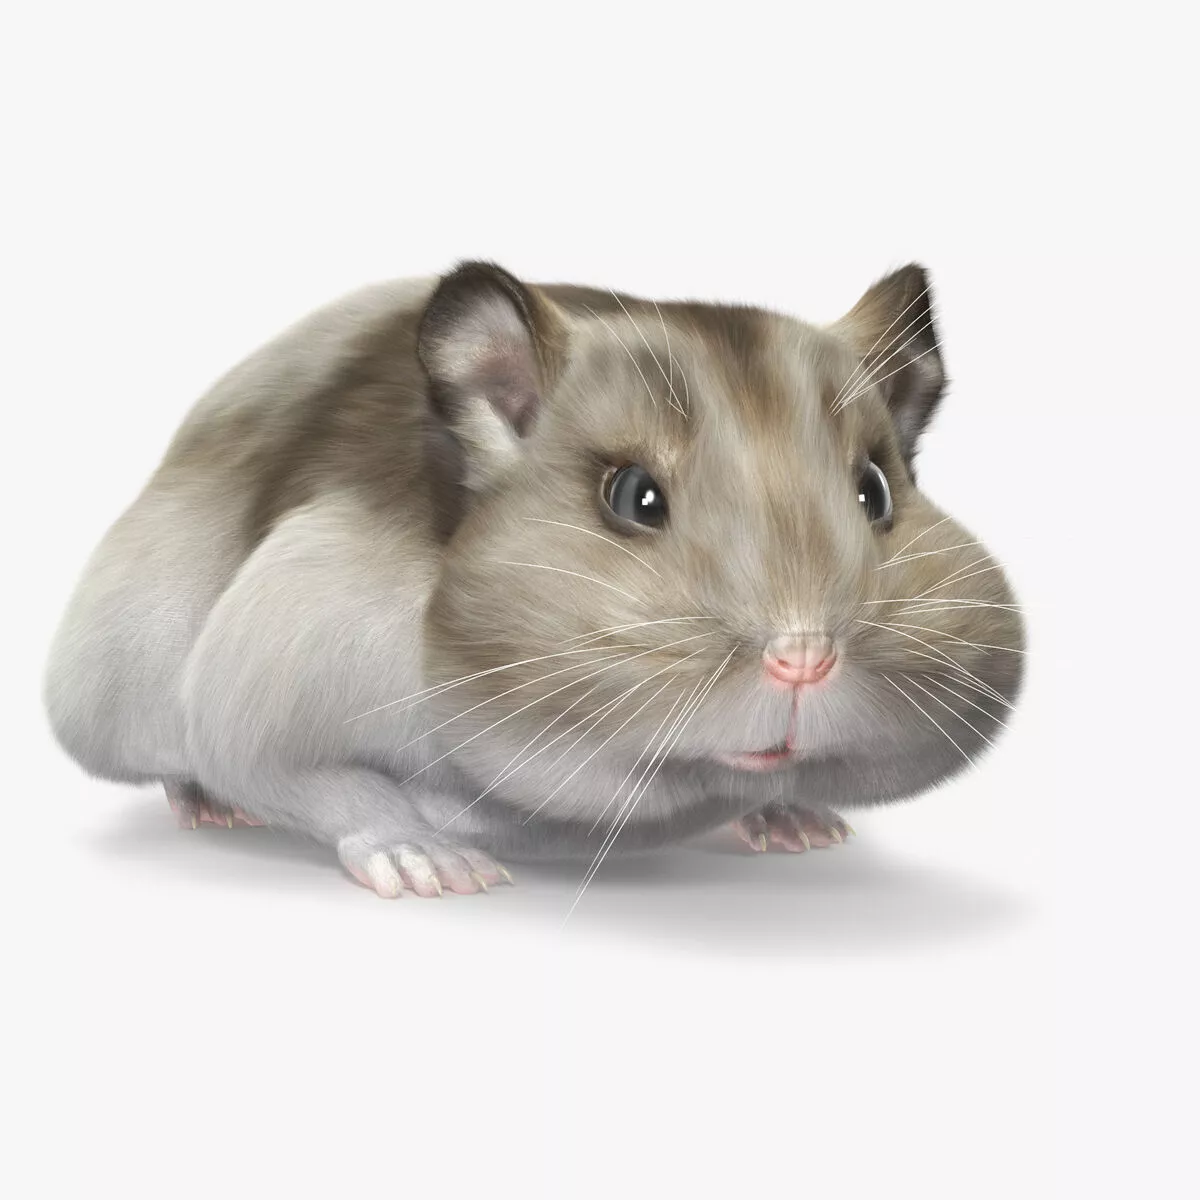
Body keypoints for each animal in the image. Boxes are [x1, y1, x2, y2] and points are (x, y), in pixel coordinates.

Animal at [44, 262, 1025, 898]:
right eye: (634, 497)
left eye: (876, 491)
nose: (804, 660)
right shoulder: (258, 691)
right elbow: (319, 782)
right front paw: (437, 871)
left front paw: (802, 822)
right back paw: (212, 811)